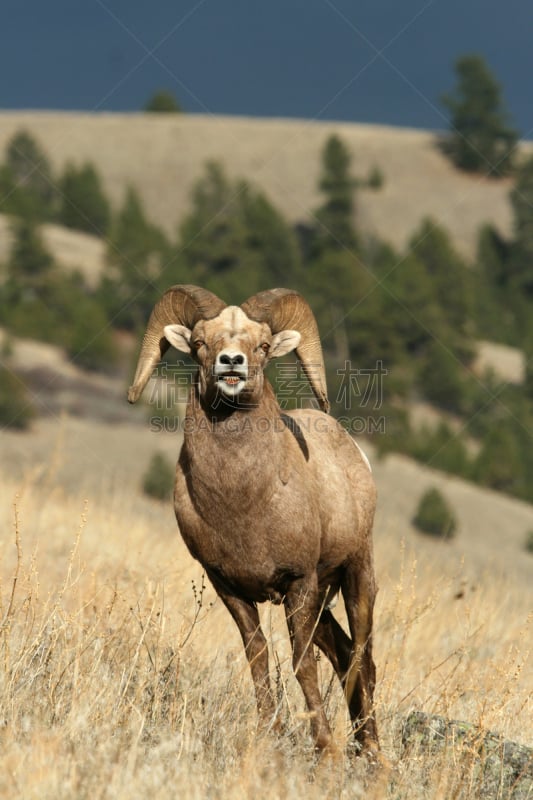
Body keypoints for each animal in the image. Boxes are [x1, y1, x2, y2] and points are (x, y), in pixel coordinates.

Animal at [129, 286, 378, 756]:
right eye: (200, 342)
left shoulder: (299, 583)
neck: (244, 503)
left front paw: (324, 749)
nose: (232, 363)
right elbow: (258, 657)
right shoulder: (230, 587)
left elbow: (301, 664)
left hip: (356, 576)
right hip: (323, 600)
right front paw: (270, 735)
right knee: (343, 655)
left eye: (262, 346)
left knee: (362, 659)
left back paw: (373, 754)